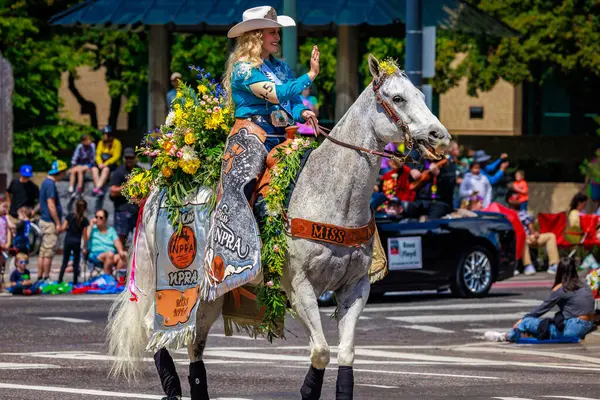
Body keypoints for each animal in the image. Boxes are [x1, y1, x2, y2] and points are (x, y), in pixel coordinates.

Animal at [106, 55, 450, 400]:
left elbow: (346, 353)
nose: (440, 135)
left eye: (421, 95)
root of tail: (157, 188)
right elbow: (321, 351)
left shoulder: (356, 287)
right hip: (175, 284)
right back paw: (172, 388)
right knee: (153, 328)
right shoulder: (300, 288)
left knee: (196, 342)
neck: (331, 196)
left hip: (211, 294)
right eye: (398, 98)